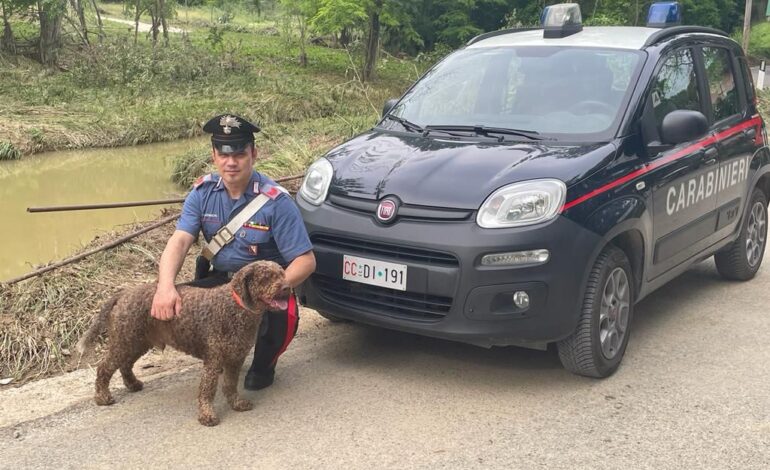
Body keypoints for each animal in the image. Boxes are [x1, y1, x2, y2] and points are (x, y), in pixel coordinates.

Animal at [77, 260, 288, 426]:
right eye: (266, 277)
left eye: (282, 274)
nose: (287, 287)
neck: (235, 308)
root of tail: (124, 293)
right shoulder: (214, 360)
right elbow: (208, 389)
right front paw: (206, 415)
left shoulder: (235, 358)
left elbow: (230, 385)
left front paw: (236, 403)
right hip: (124, 341)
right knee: (104, 367)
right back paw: (102, 397)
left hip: (137, 342)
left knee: (125, 365)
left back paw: (133, 384)